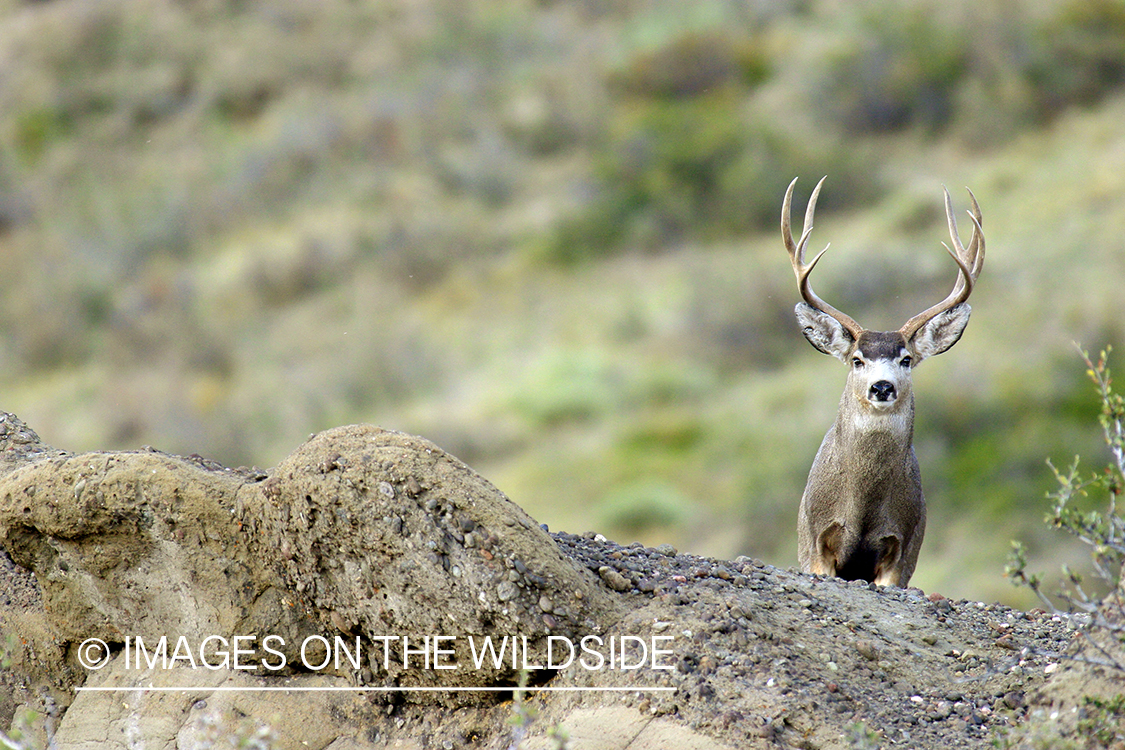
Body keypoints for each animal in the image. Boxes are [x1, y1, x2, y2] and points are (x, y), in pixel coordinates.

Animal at [781, 176, 984, 587]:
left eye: (906, 360)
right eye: (857, 360)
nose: (882, 387)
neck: (862, 505)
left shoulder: (903, 550)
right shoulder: (816, 543)